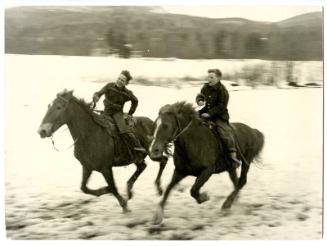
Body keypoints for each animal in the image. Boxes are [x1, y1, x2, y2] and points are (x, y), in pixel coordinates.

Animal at [37, 89, 168, 212]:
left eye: (59, 107)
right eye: (49, 106)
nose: (42, 131)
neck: (90, 134)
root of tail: (153, 123)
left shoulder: (106, 168)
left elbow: (113, 187)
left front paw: (124, 205)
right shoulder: (87, 167)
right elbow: (84, 188)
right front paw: (104, 191)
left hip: (152, 153)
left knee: (163, 161)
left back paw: (158, 188)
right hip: (136, 158)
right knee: (143, 166)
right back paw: (129, 189)